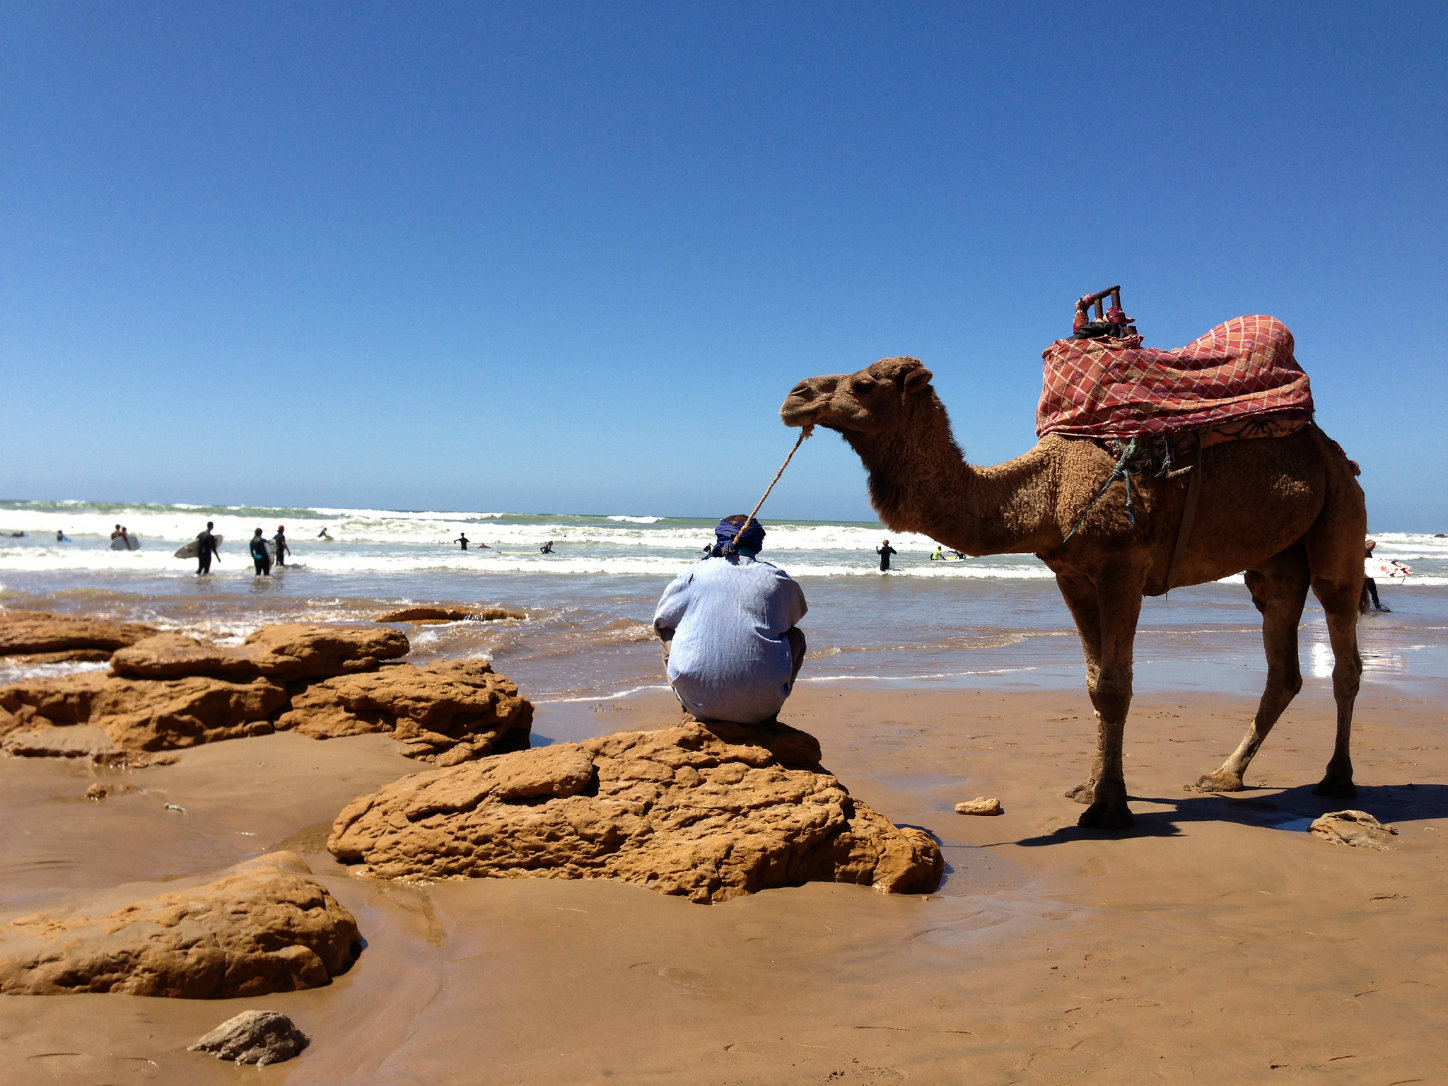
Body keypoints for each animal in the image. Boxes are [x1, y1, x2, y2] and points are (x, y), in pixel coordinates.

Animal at [781, 357, 1366, 834]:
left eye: (863, 383)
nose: (795, 396)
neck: (1050, 488)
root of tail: (1335, 452)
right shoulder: (1072, 574)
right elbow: (1092, 683)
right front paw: (1091, 787)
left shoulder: (1121, 567)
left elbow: (1114, 686)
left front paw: (1109, 809)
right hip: (1274, 562)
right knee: (1282, 663)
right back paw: (1223, 776)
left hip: (1341, 512)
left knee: (1343, 641)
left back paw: (1337, 778)